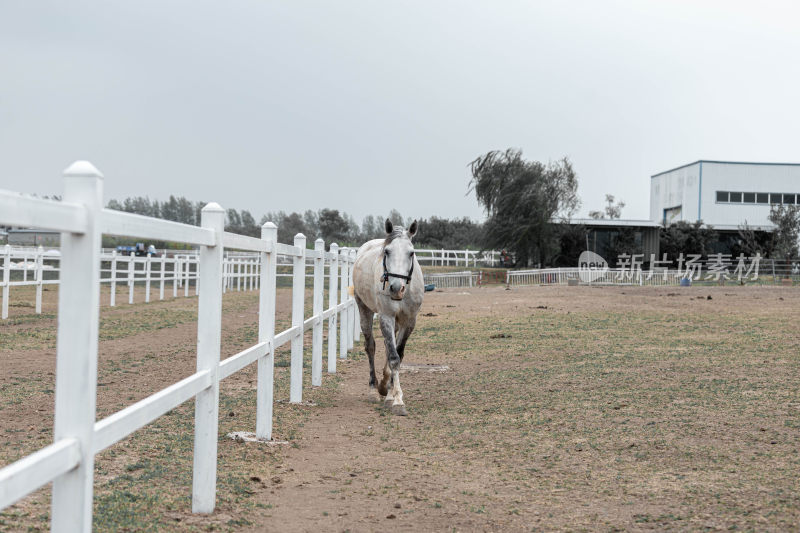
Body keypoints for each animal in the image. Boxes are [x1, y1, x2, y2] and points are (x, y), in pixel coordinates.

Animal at [352, 218, 422, 414]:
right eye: (387, 251)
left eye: (411, 253)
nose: (396, 288)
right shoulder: (386, 317)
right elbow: (393, 358)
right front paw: (397, 401)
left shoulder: (409, 321)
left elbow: (398, 354)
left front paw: (390, 393)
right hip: (364, 309)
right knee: (371, 347)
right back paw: (373, 390)